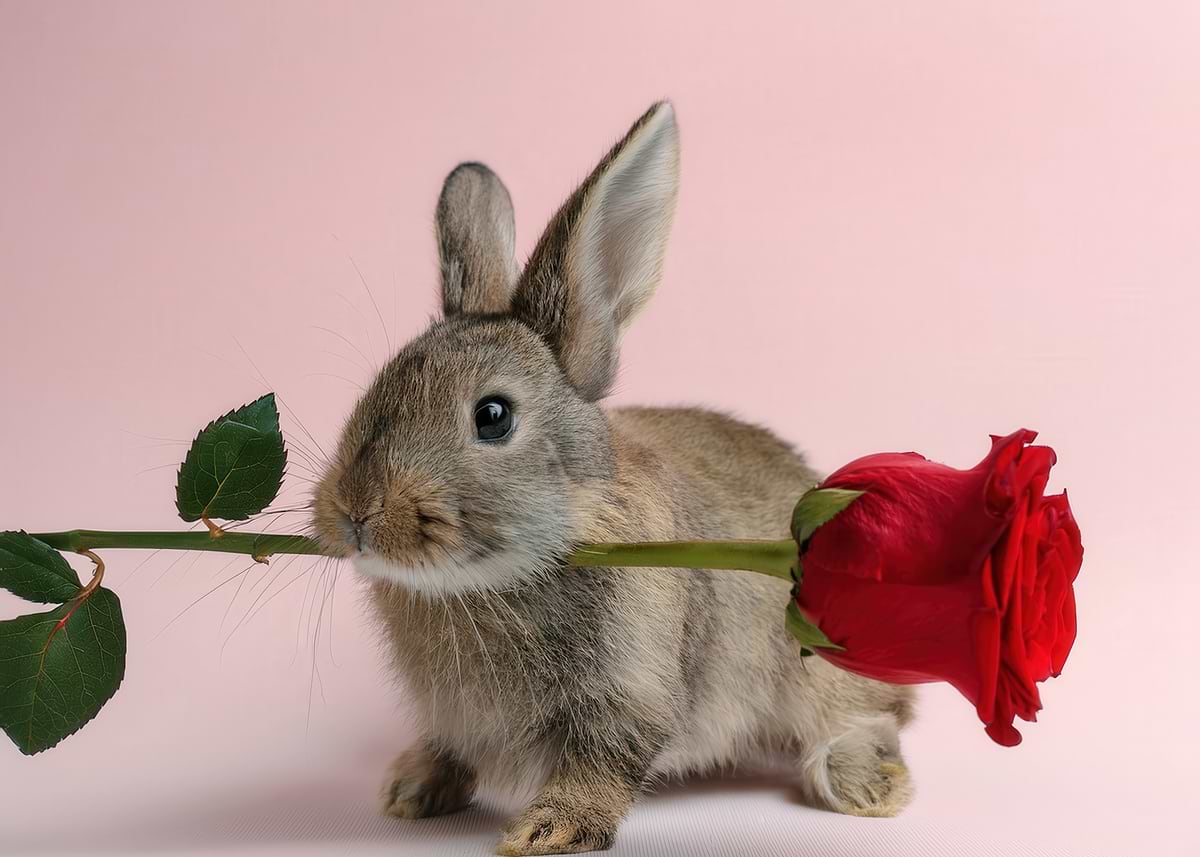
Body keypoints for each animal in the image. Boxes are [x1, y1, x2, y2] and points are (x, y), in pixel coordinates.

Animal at [312, 101, 915, 856]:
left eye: (493, 416)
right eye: (377, 387)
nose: (357, 512)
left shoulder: (629, 690)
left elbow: (602, 761)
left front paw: (547, 831)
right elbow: (450, 747)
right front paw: (411, 790)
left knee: (863, 716)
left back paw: (865, 786)